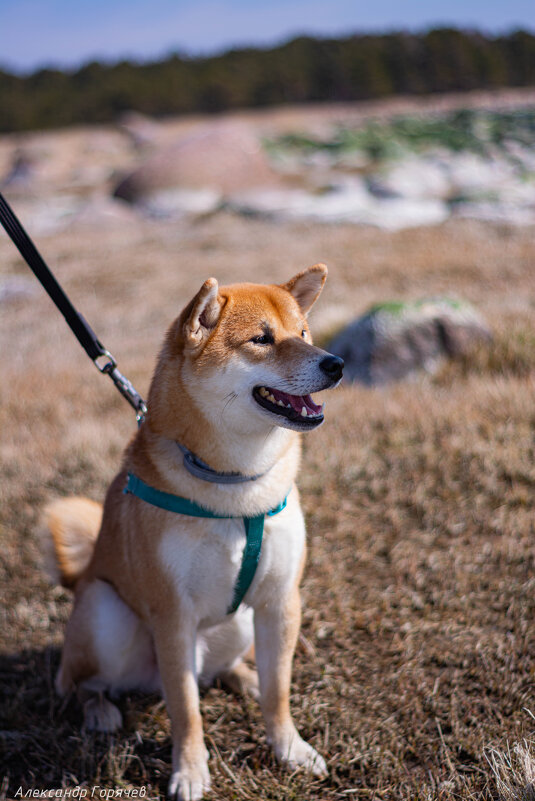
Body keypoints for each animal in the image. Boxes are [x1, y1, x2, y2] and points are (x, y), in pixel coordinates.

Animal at [46, 266, 344, 796]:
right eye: (262, 339)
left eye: (304, 333)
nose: (337, 364)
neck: (235, 485)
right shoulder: (173, 614)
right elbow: (186, 709)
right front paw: (189, 771)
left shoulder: (280, 600)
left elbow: (279, 691)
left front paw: (289, 748)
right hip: (106, 612)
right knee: (84, 683)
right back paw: (100, 710)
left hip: (238, 622)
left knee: (221, 672)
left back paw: (245, 678)